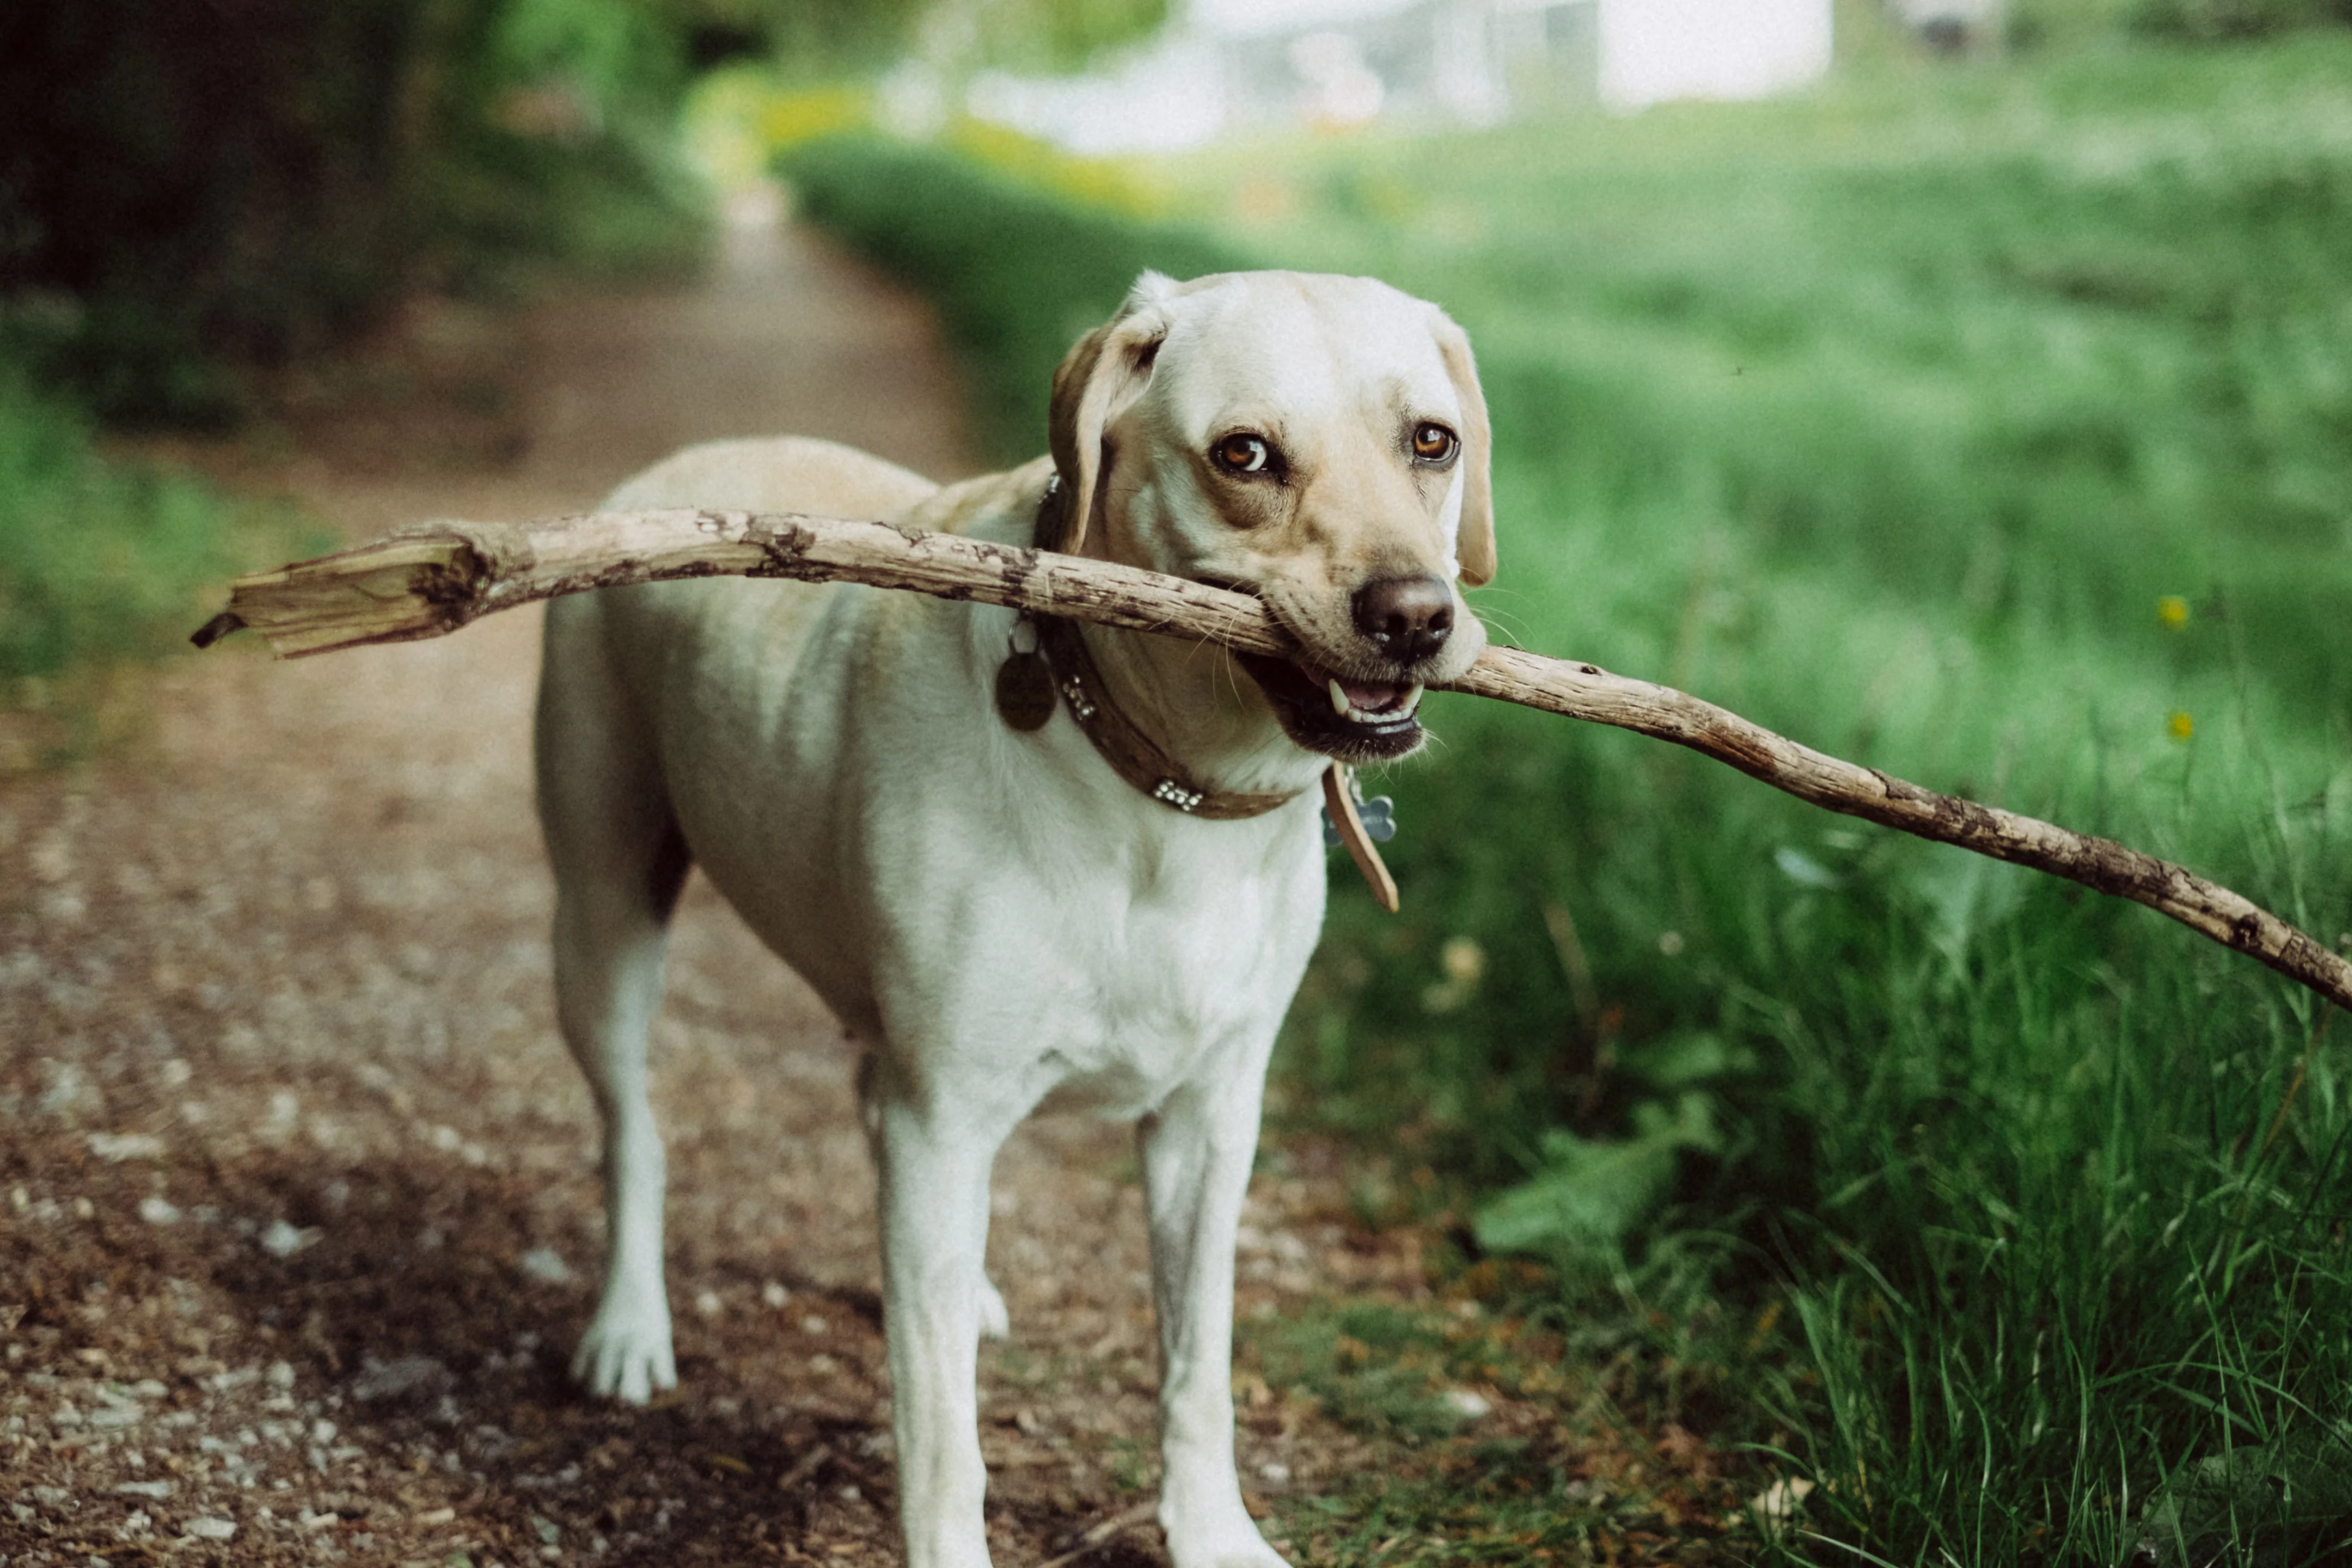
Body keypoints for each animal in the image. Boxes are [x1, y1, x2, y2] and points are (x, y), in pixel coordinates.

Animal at [531, 272, 1486, 1568]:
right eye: (1243, 454)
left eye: (1431, 442)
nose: (1414, 616)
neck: (1160, 791)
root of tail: (665, 471)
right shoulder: (946, 1117)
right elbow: (942, 1440)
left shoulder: (1209, 1119)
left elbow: (1196, 1365)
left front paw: (1211, 1530)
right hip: (604, 913)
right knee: (634, 1128)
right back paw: (630, 1327)